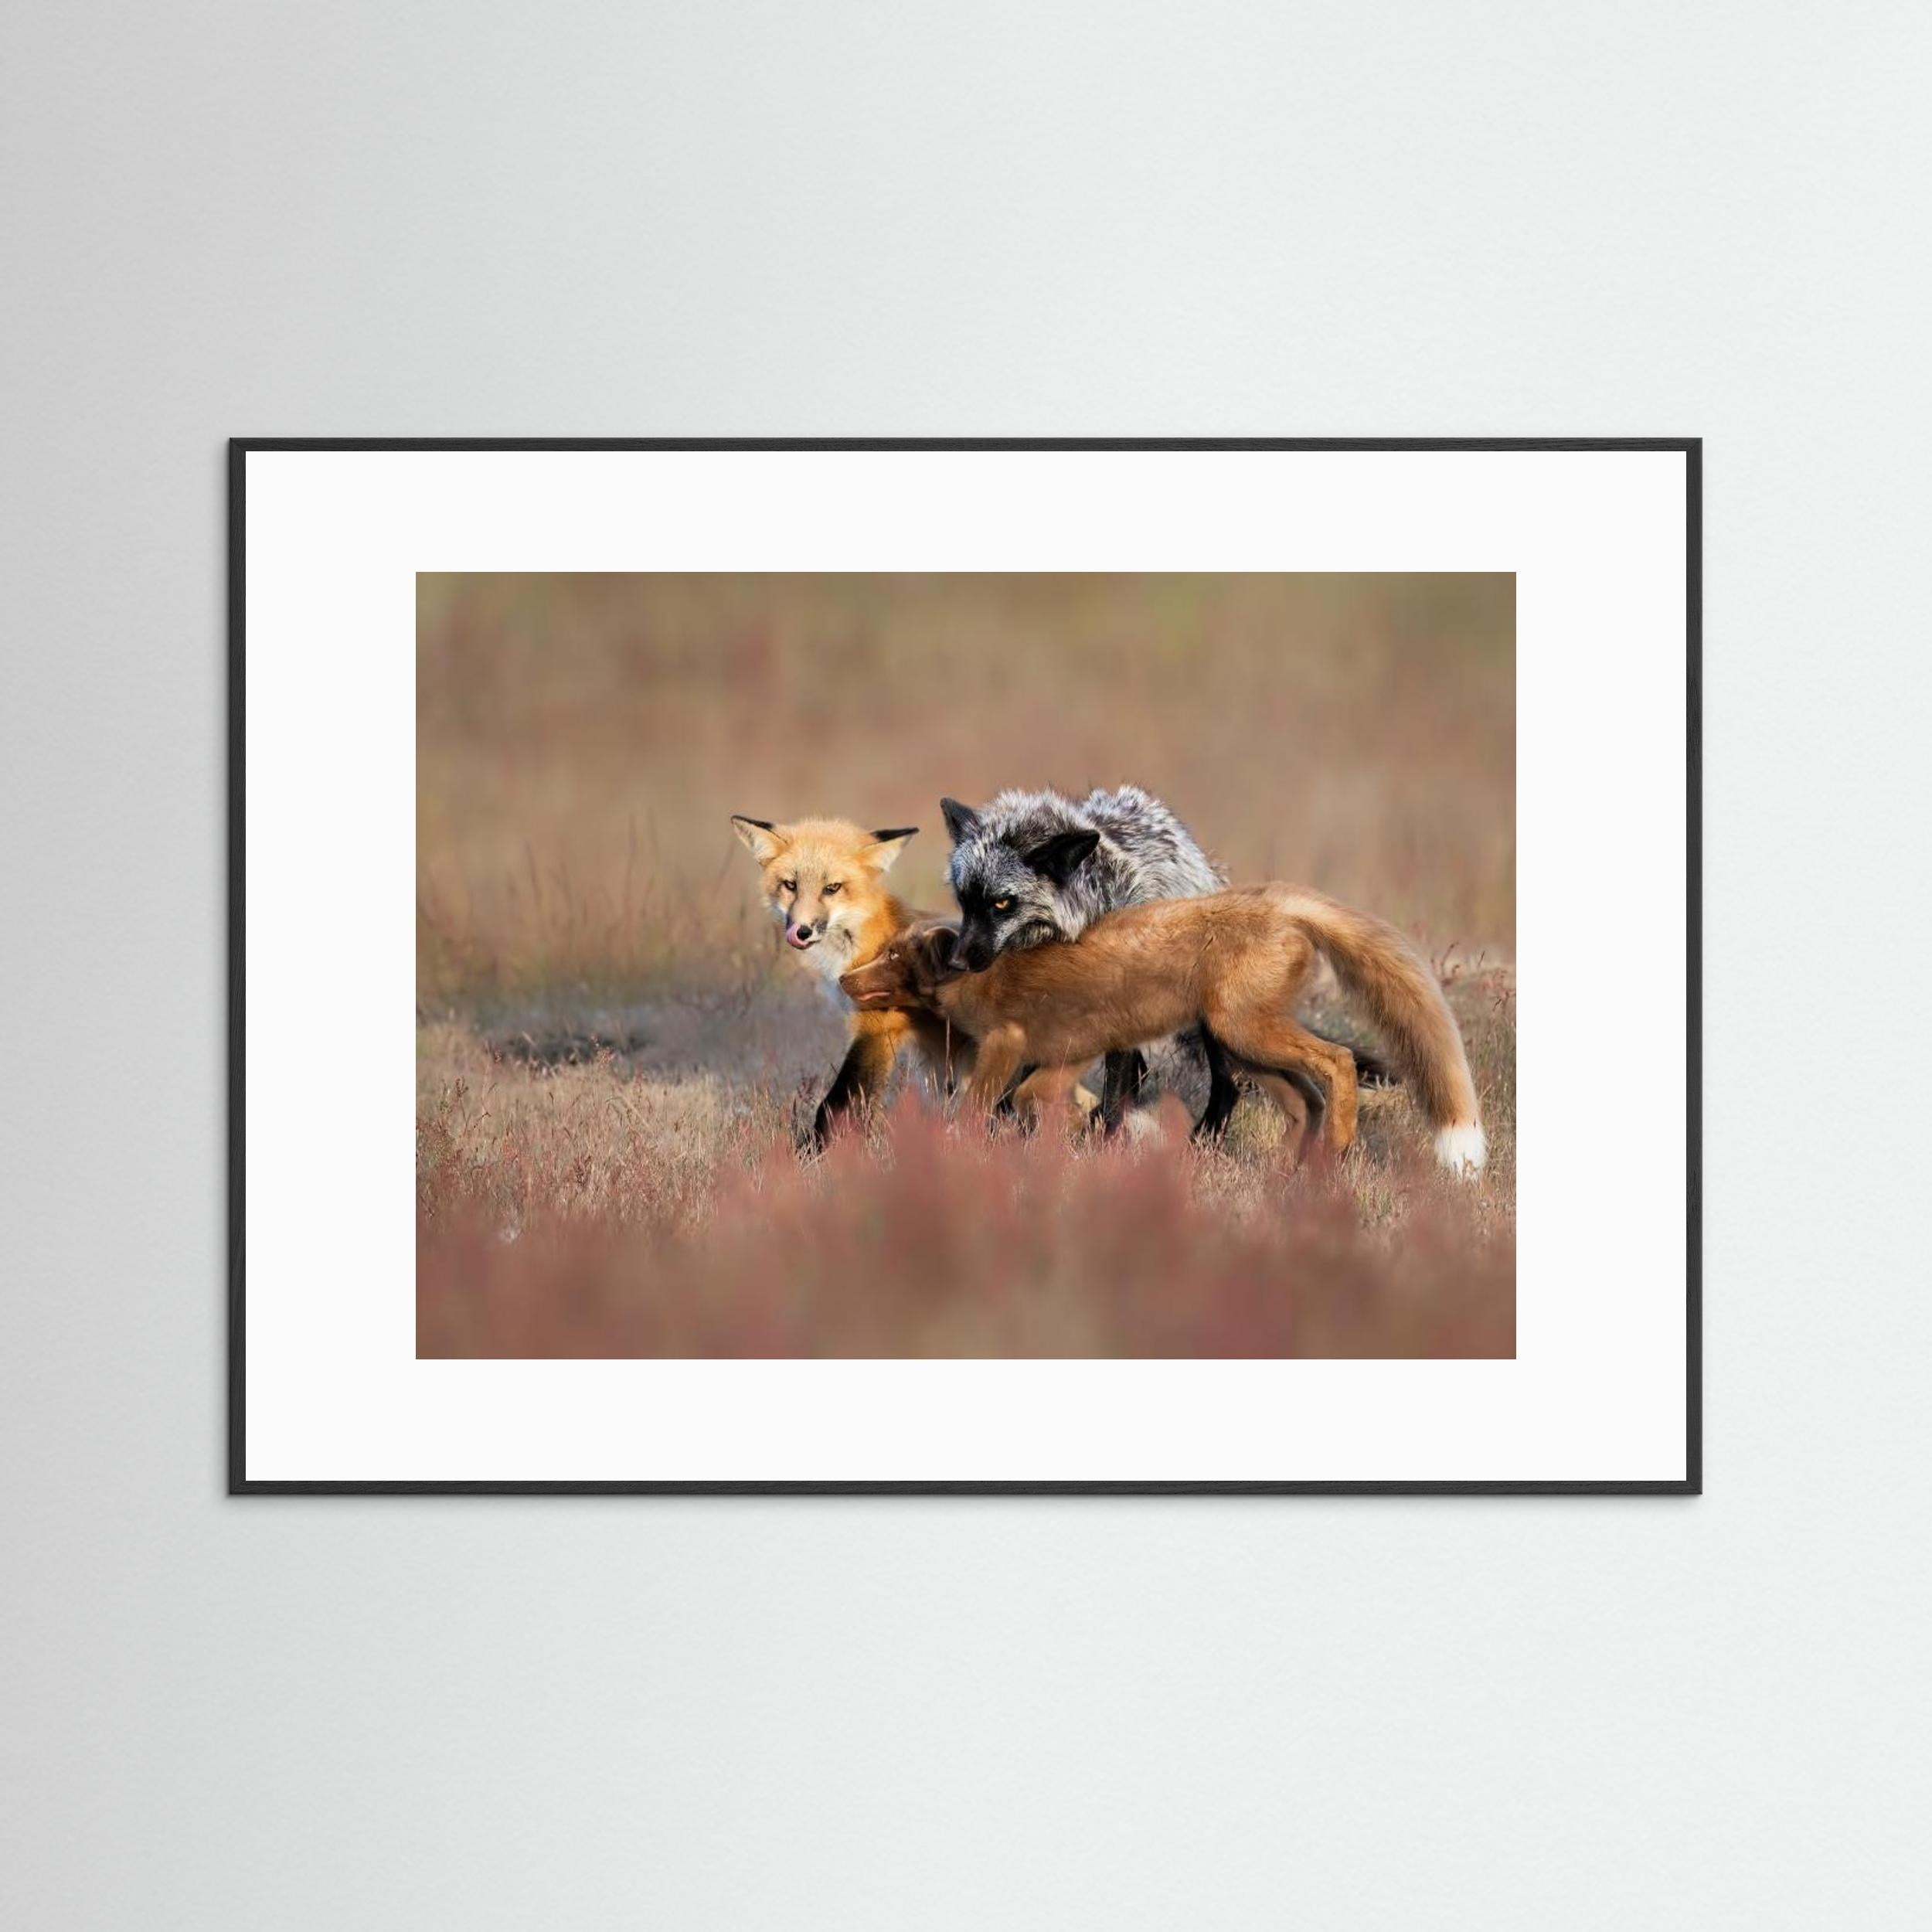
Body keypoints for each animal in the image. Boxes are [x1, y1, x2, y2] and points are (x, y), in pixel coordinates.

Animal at [839, 883, 1488, 1176]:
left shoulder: (1011, 1043)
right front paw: (1072, 1137)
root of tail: (1278, 899)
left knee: (1338, 1062)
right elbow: (1036, 1100)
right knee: (1305, 1098)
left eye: (893, 957)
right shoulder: (1070, 1053)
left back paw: (1338, 1148)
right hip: (1242, 1047)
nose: (845, 979)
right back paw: (1289, 1171)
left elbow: (980, 1105)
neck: (980, 978)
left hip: (1246, 1032)